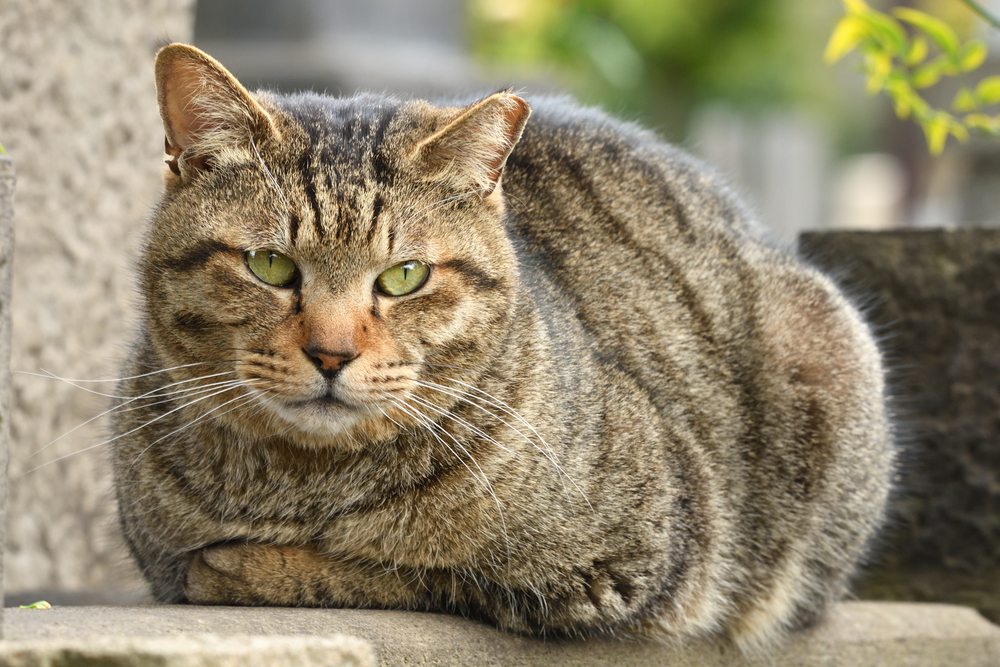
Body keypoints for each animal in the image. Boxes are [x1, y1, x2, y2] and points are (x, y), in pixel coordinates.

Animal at [109, 43, 892, 652]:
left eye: (405, 276)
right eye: (269, 266)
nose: (332, 354)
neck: (304, 485)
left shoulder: (622, 563)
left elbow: (404, 571)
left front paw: (250, 565)